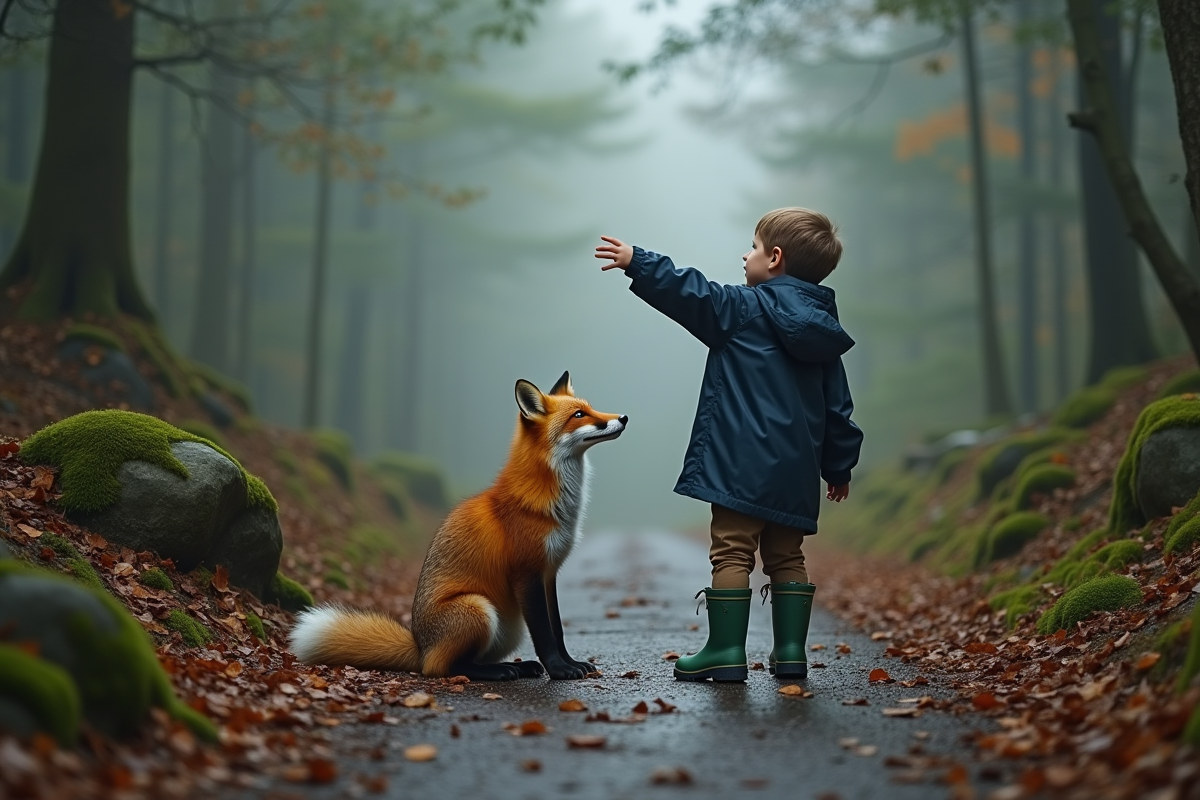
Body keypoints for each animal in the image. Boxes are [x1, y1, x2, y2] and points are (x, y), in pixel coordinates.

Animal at [288, 372, 627, 681]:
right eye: (579, 415)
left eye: (590, 408)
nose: (623, 417)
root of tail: (420, 645)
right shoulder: (526, 572)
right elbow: (544, 634)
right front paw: (558, 670)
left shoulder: (548, 573)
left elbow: (557, 629)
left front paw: (570, 663)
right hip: (478, 609)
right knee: (445, 668)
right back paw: (498, 672)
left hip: (509, 626)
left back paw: (515, 667)